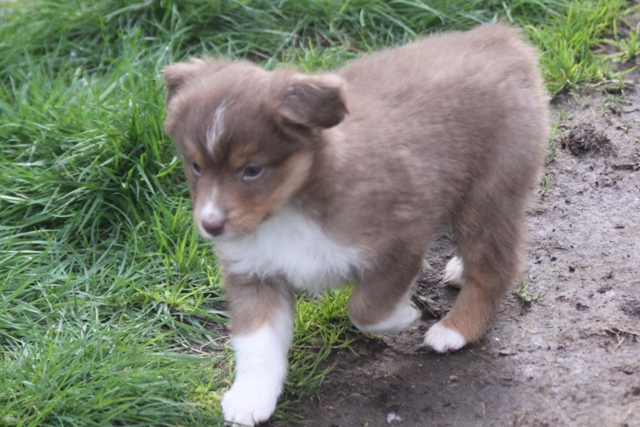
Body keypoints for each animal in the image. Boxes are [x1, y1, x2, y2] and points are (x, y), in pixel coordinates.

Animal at [163, 22, 548, 426]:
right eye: (195, 166)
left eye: (251, 170)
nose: (210, 225)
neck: (289, 210)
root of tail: (498, 38)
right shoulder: (253, 274)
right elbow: (258, 344)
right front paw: (250, 398)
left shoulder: (399, 243)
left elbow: (366, 309)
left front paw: (405, 315)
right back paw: (459, 270)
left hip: (489, 193)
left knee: (495, 267)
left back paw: (455, 329)